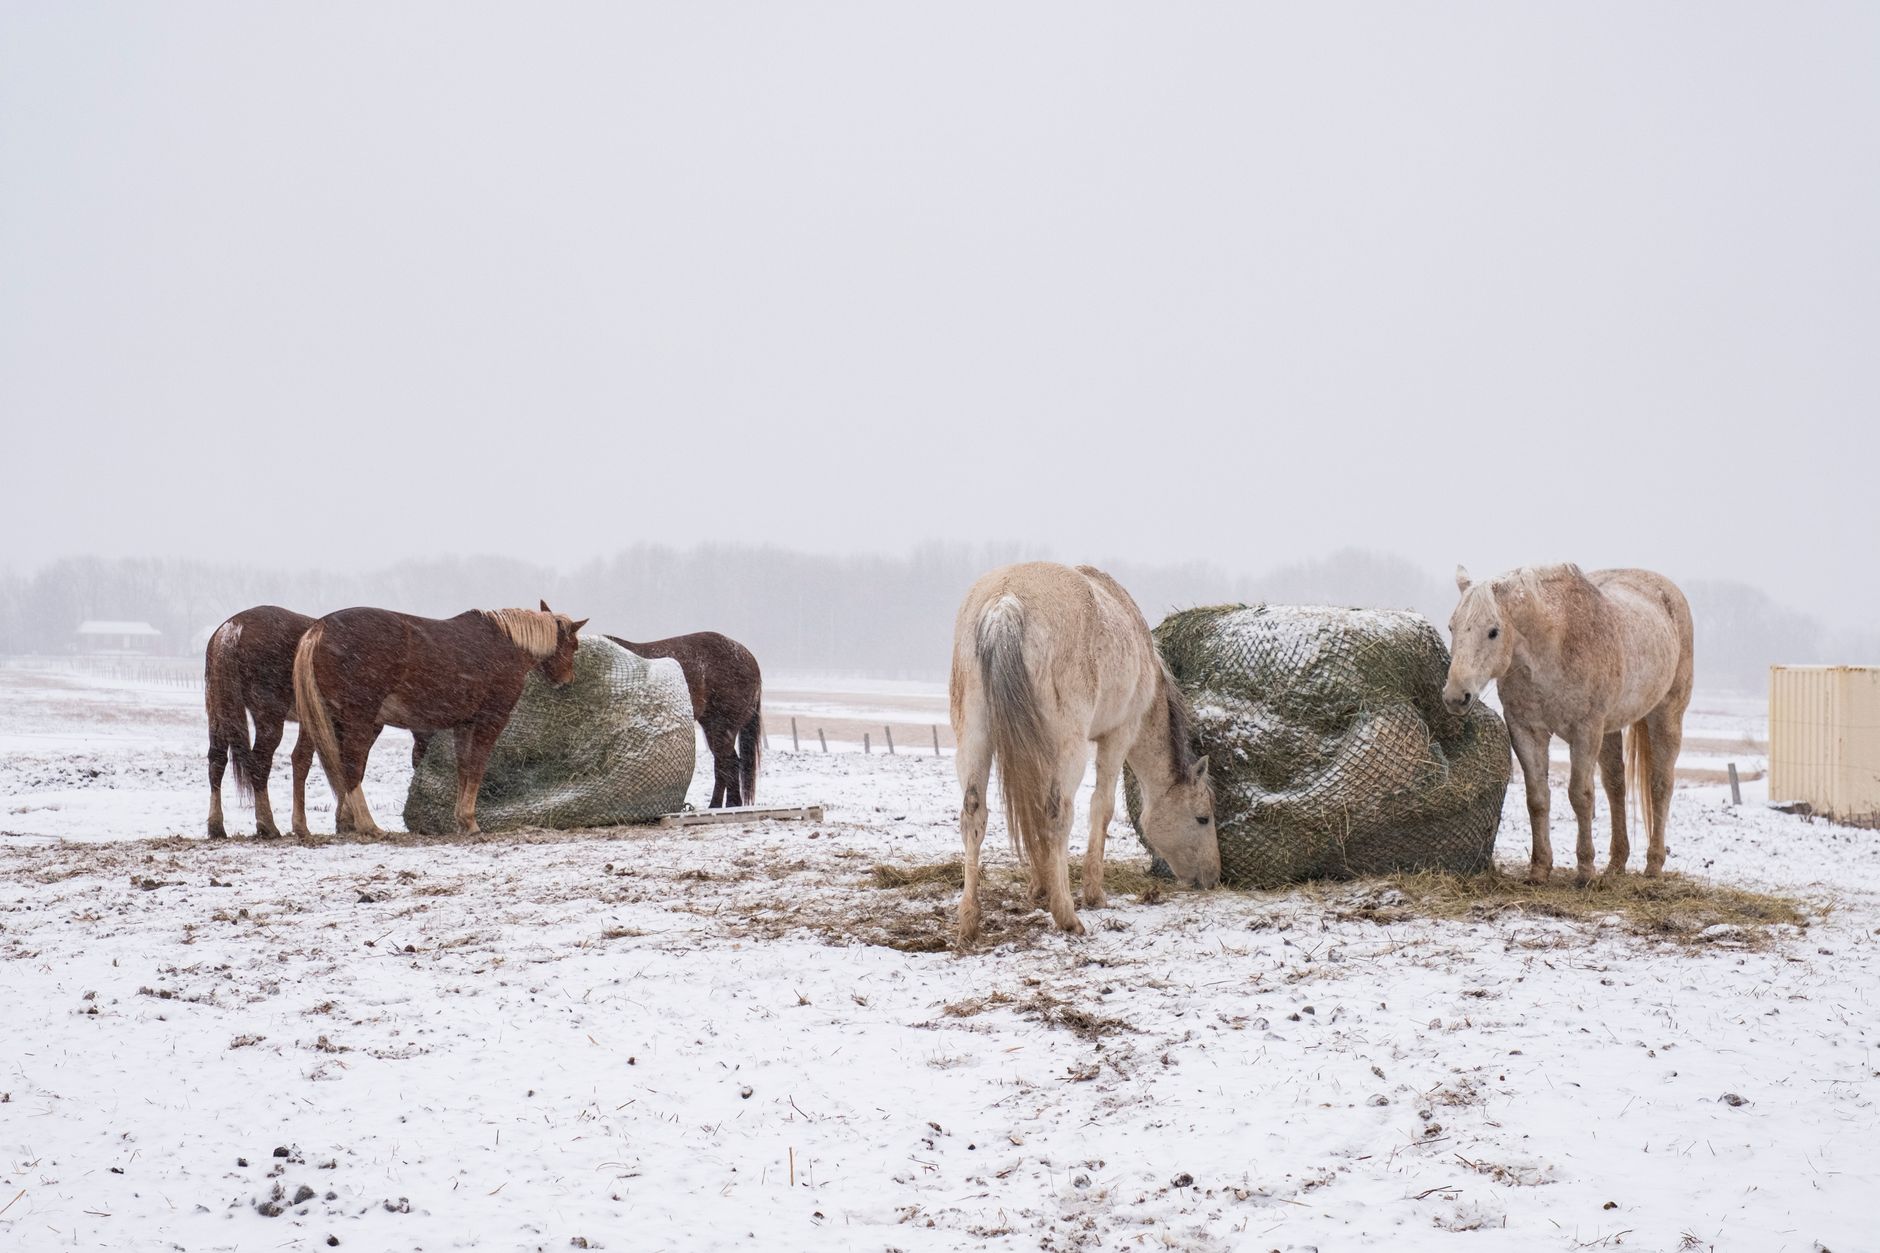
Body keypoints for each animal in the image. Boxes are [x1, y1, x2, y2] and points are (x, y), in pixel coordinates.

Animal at [204, 605, 317, 839]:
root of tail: (232, 629)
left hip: (218, 713)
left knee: (216, 762)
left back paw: (216, 826)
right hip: (269, 718)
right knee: (259, 763)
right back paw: (267, 825)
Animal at [293, 601, 586, 836]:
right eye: (573, 645)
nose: (567, 680)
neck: (506, 644)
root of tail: (320, 628)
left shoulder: (464, 725)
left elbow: (464, 768)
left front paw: (462, 821)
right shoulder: (491, 719)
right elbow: (477, 766)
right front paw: (470, 821)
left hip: (325, 720)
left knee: (311, 761)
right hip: (360, 719)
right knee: (351, 764)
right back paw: (367, 825)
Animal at [605, 632, 762, 808]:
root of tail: (748, 657)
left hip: (723, 727)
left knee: (727, 763)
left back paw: (720, 805)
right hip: (713, 726)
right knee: (726, 763)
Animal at [950, 562, 1218, 944]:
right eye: (1202, 818)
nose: (1212, 878)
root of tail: (1005, 603)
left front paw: (1039, 885)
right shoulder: (1118, 736)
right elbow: (1101, 807)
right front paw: (1093, 892)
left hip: (975, 738)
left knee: (974, 816)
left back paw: (970, 920)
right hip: (1069, 748)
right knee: (1058, 813)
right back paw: (1067, 915)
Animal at [1443, 564, 1693, 884]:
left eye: (1493, 631)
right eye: (1452, 627)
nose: (1455, 696)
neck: (1555, 644)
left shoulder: (1585, 732)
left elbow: (1580, 796)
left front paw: (1585, 871)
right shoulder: (1526, 731)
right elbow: (1537, 798)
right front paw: (1539, 869)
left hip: (1666, 715)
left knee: (1660, 785)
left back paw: (1653, 866)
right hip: (1610, 730)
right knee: (1616, 786)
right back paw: (1616, 864)